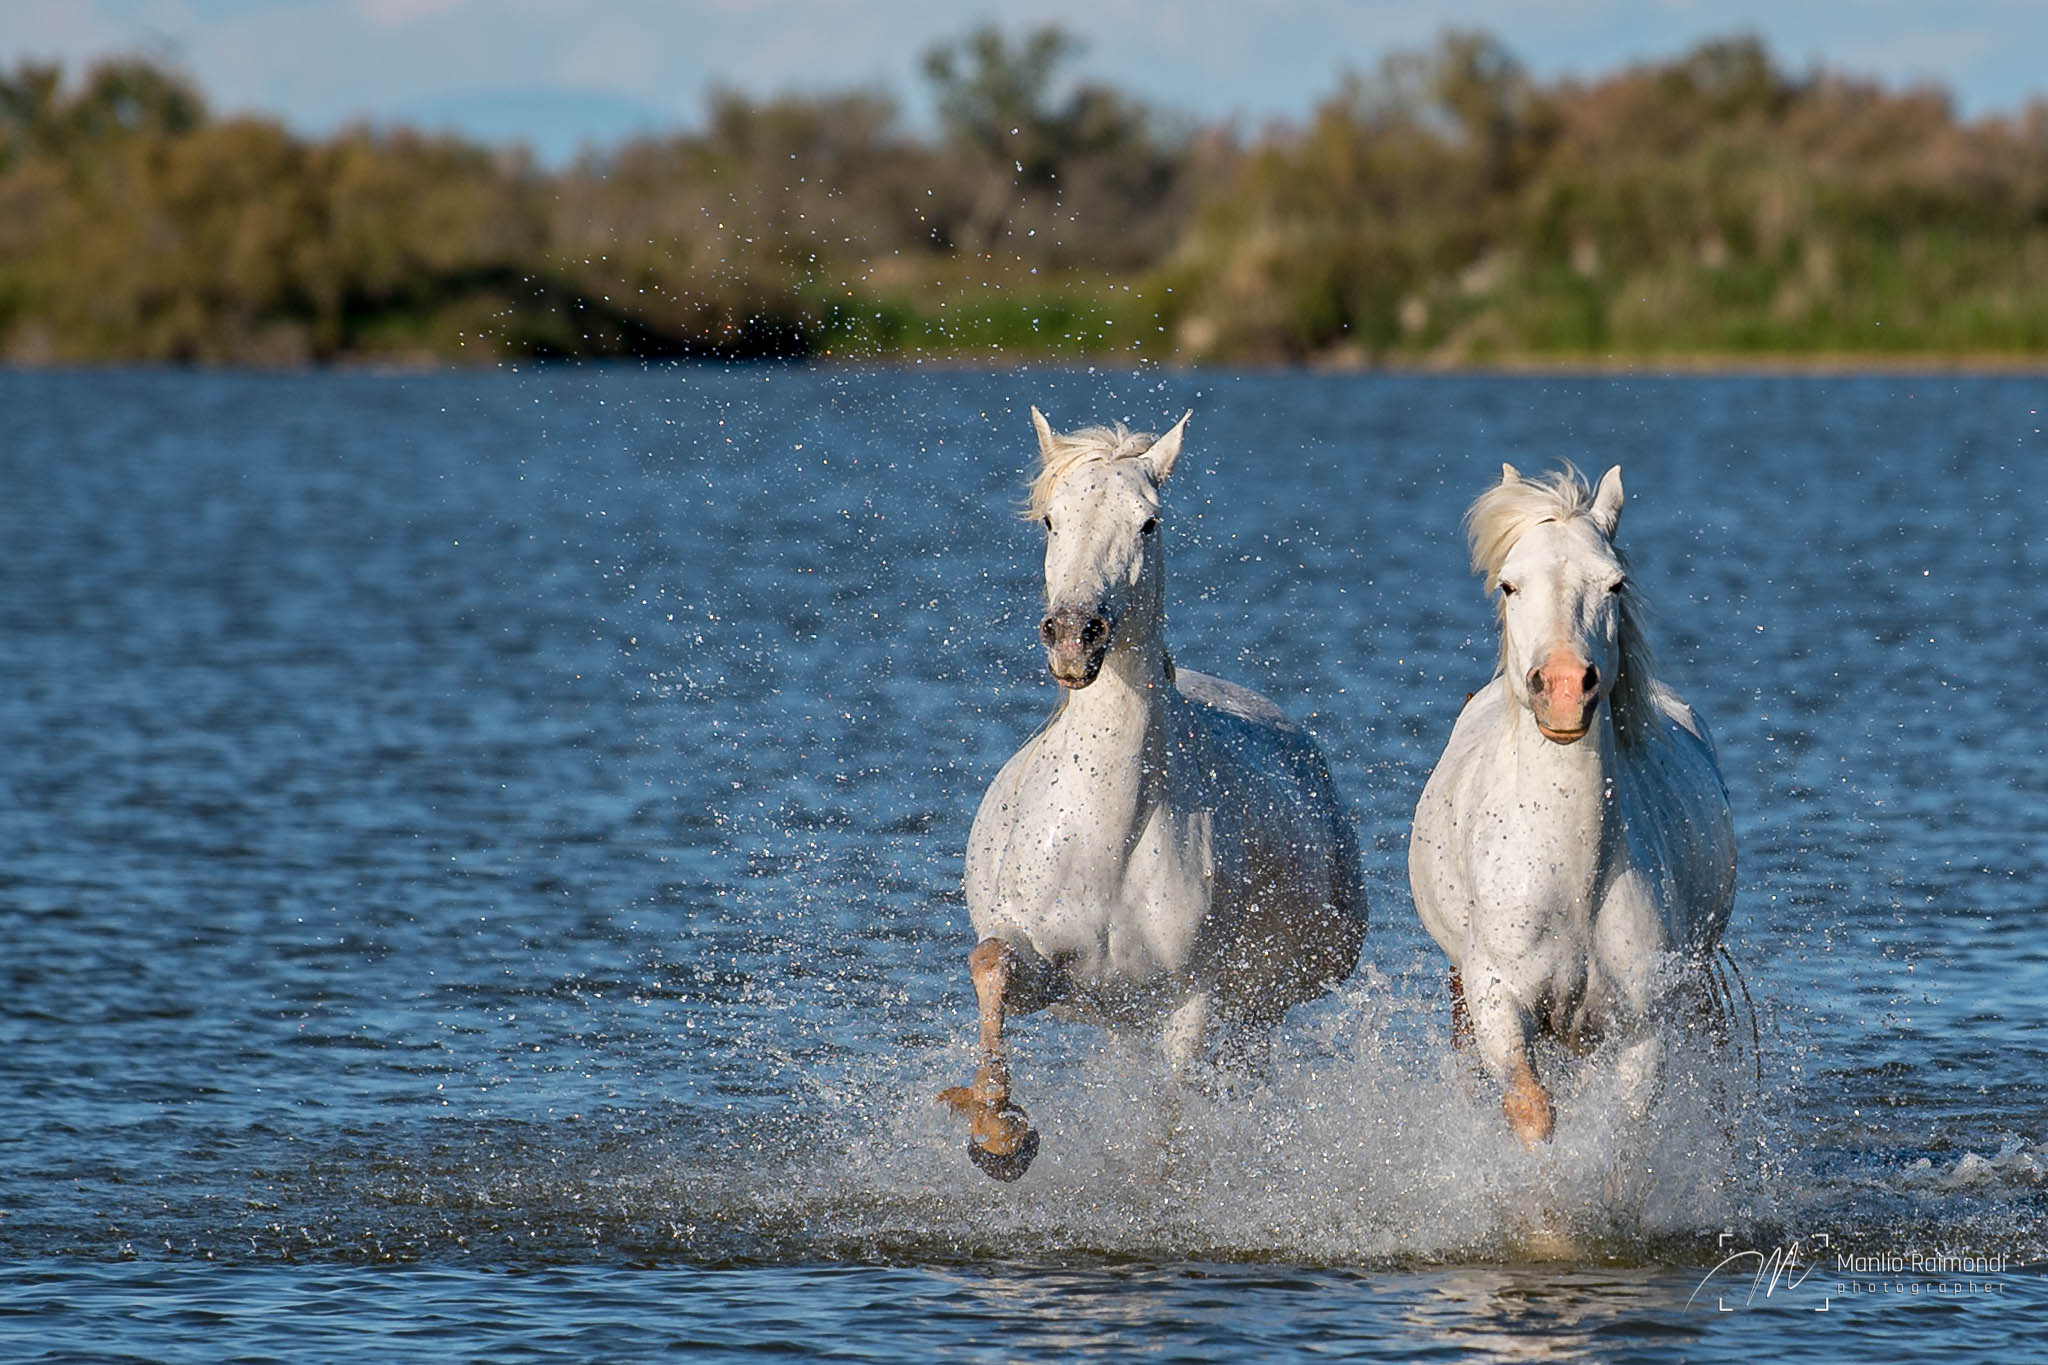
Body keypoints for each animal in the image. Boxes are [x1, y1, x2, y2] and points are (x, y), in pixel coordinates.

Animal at [938, 408, 1368, 1181]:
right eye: (1050, 518)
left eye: (1149, 522)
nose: (1074, 634)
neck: (1105, 835)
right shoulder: (1051, 968)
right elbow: (989, 966)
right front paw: (997, 1133)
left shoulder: (1192, 996)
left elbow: (1171, 1110)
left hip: (1261, 1001)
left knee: (1242, 1068)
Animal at [1408, 463, 1737, 1147]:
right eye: (1510, 584)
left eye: (1614, 583)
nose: (1562, 689)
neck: (1570, 880)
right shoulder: (1496, 1002)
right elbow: (1532, 1112)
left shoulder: (1640, 1030)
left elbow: (1626, 1133)